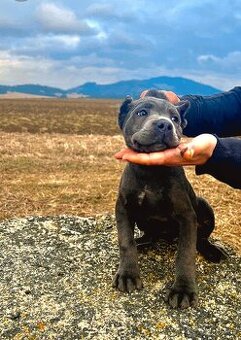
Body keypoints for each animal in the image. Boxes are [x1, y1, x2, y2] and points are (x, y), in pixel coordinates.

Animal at [113, 90, 228, 308]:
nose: (165, 124)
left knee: (201, 239)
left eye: (175, 119)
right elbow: (125, 242)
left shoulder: (186, 216)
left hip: (204, 205)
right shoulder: (123, 208)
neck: (150, 173)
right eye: (141, 112)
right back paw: (142, 242)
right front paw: (128, 274)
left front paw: (183, 290)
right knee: (150, 234)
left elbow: (185, 253)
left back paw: (212, 251)